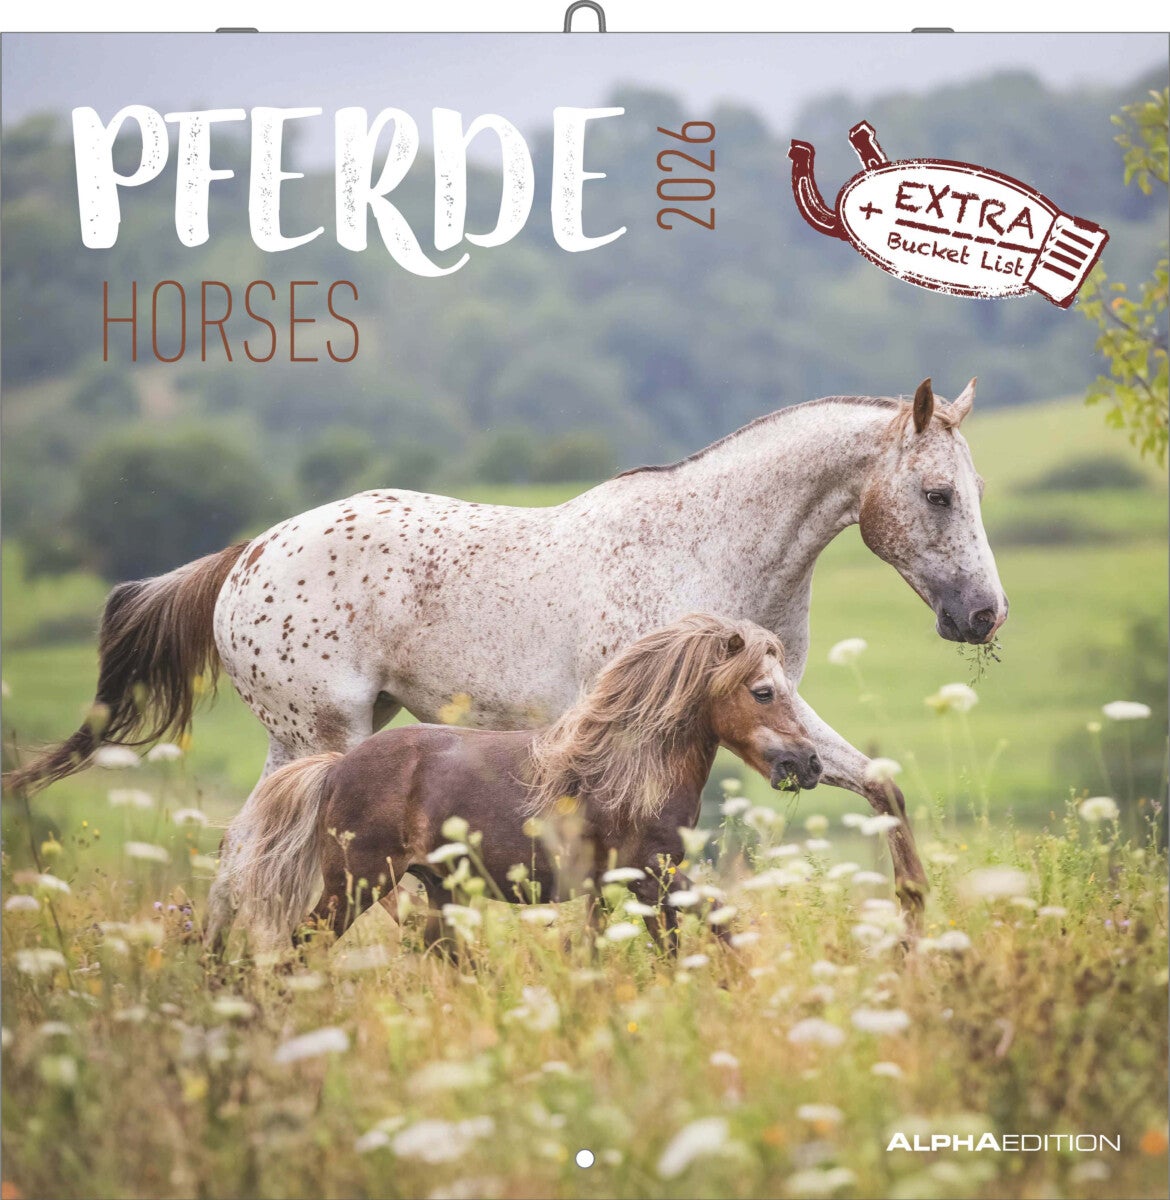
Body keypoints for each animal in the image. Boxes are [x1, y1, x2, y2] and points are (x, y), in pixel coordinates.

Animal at [208, 613, 822, 955]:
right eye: (763, 691)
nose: (810, 765)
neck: (626, 773)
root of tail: (335, 768)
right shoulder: (653, 879)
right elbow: (692, 940)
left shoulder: (629, 885)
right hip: (356, 885)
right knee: (304, 949)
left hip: (437, 888)